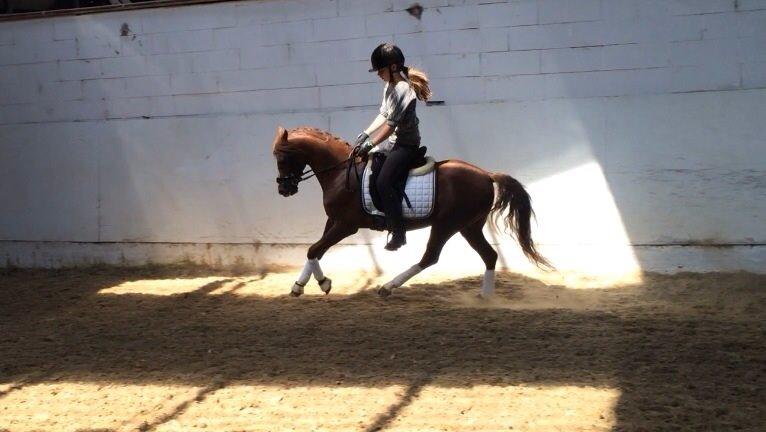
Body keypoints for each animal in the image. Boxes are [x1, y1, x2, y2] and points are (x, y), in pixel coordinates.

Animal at [272, 126, 550, 297]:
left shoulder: (346, 225)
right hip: (469, 226)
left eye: (282, 158)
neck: (341, 172)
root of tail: (486, 174)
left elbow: (313, 249)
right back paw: (486, 297)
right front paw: (313, 283)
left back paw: (387, 287)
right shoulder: (333, 220)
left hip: (447, 224)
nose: (284, 189)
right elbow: (316, 251)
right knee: (489, 256)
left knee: (430, 257)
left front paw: (308, 285)